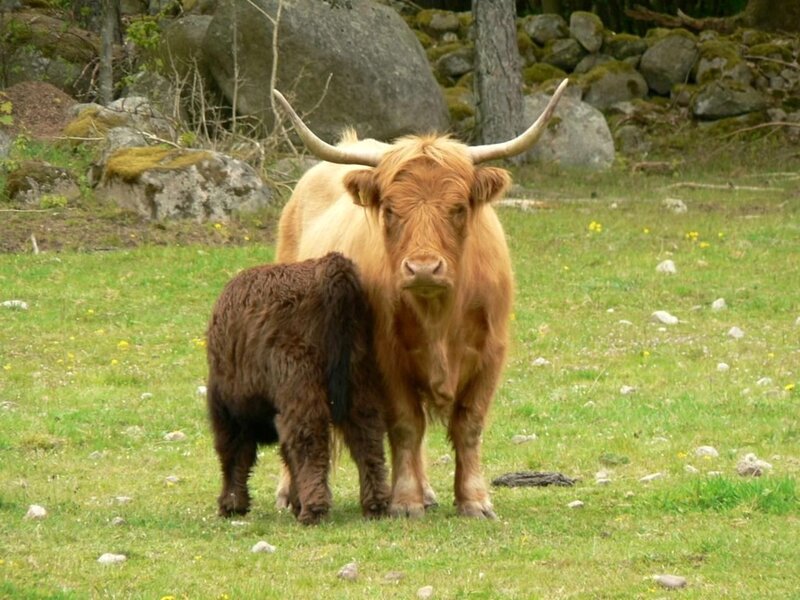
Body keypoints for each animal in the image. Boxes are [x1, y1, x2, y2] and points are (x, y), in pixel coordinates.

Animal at [206, 252, 390, 525]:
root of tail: (328, 265)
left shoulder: (228, 414)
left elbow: (234, 454)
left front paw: (231, 504)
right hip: (359, 381)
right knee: (367, 438)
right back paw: (376, 506)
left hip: (300, 385)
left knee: (310, 441)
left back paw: (313, 511)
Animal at [272, 80, 568, 519]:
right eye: (391, 210)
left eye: (458, 208)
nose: (424, 268)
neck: (440, 318)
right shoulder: (387, 357)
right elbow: (406, 425)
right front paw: (406, 501)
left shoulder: (491, 353)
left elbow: (469, 425)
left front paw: (474, 500)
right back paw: (288, 492)